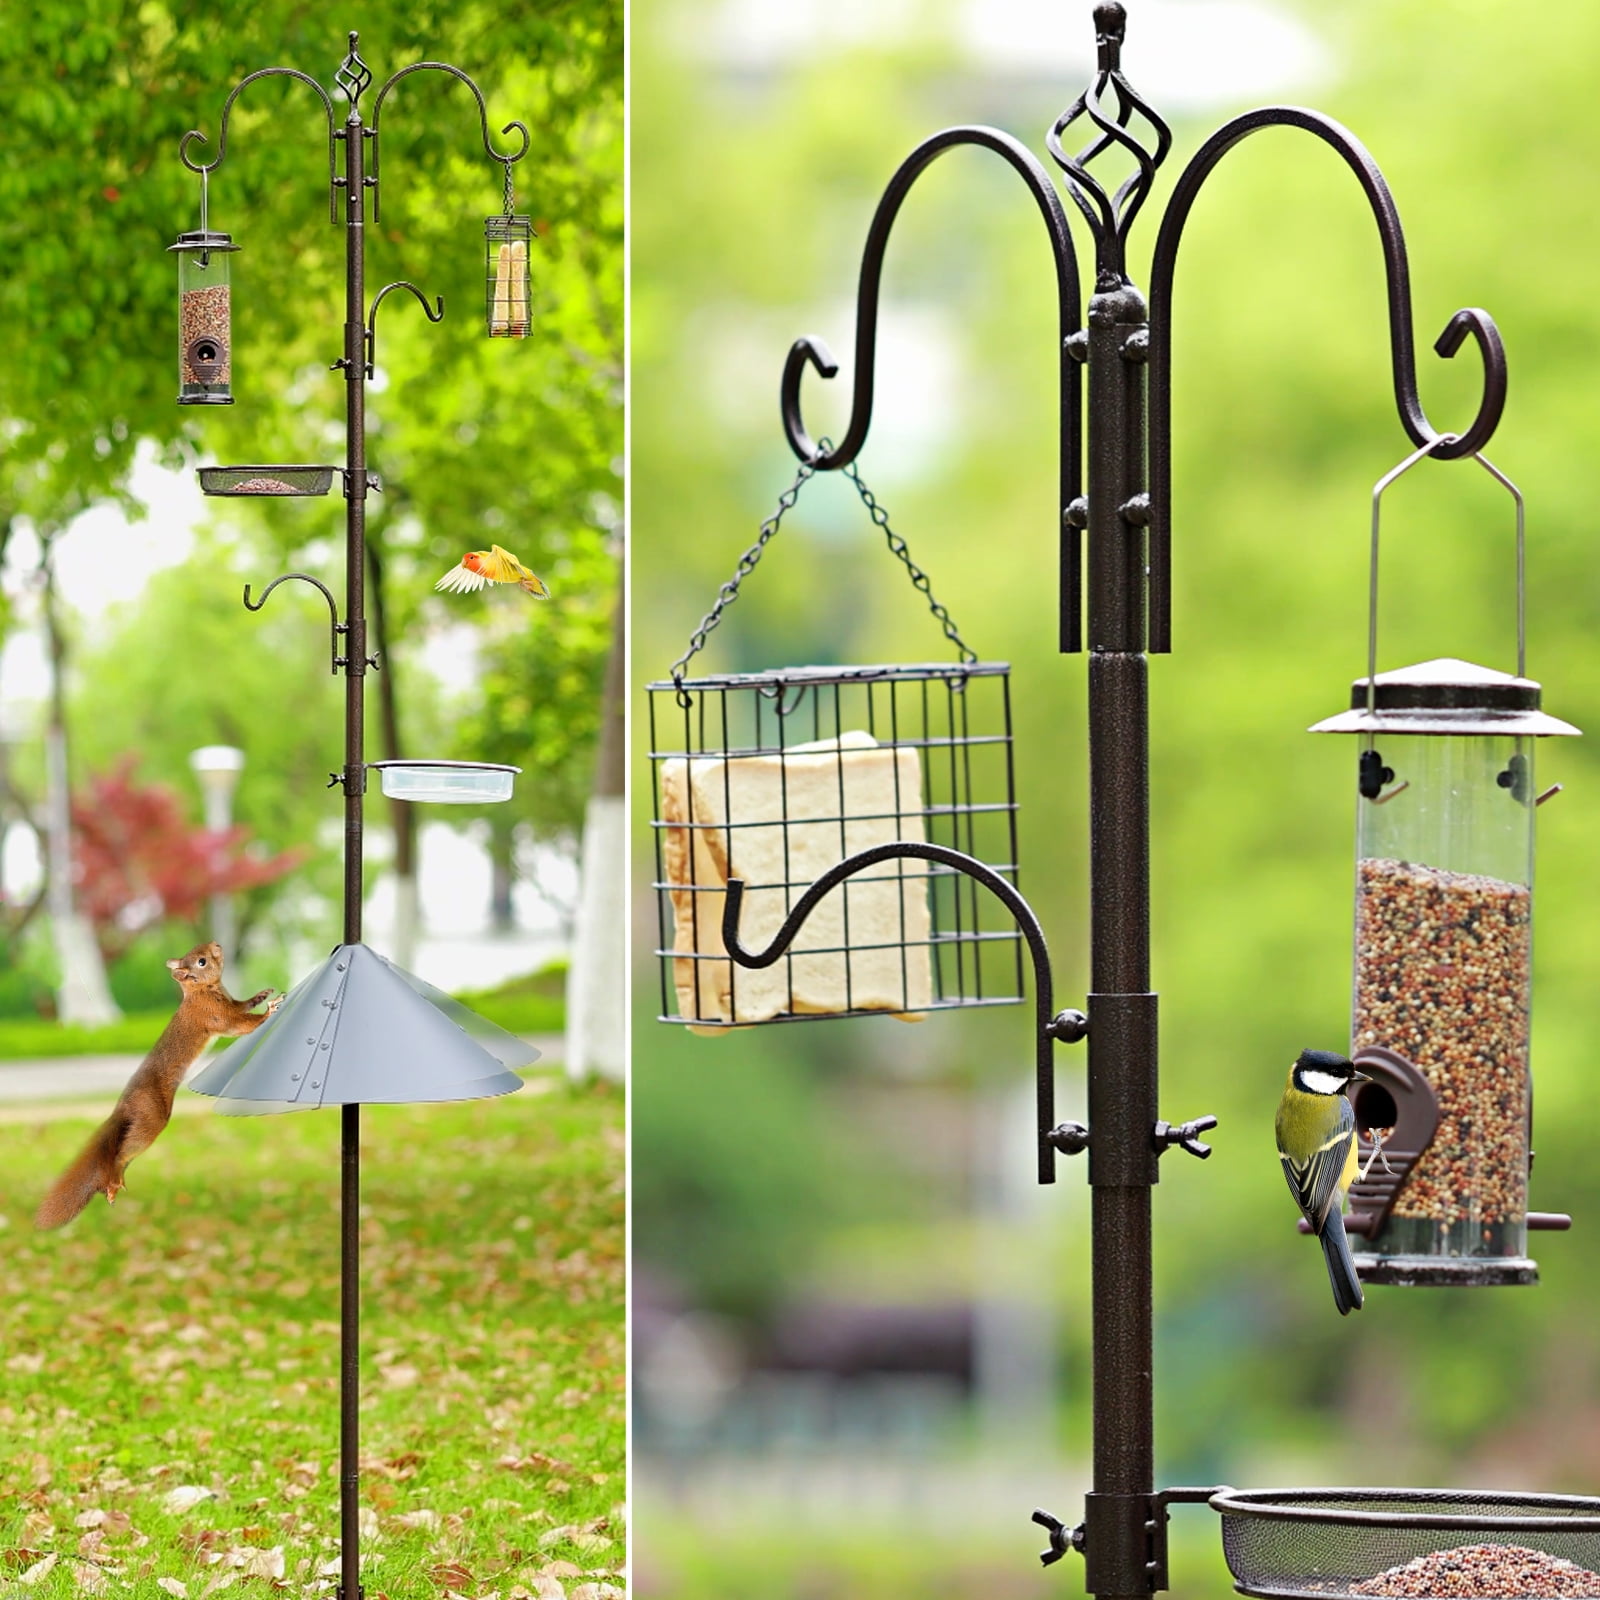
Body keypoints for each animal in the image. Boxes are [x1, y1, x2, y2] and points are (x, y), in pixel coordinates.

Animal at [34, 942, 281, 1230]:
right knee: (123, 1153)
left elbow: (242, 1005)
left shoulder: (230, 1003)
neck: (204, 990)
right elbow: (241, 1023)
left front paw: (262, 995)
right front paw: (269, 1010)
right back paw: (113, 1180)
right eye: (201, 961)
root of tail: (123, 1104)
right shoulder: (215, 1015)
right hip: (151, 1117)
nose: (216, 945)